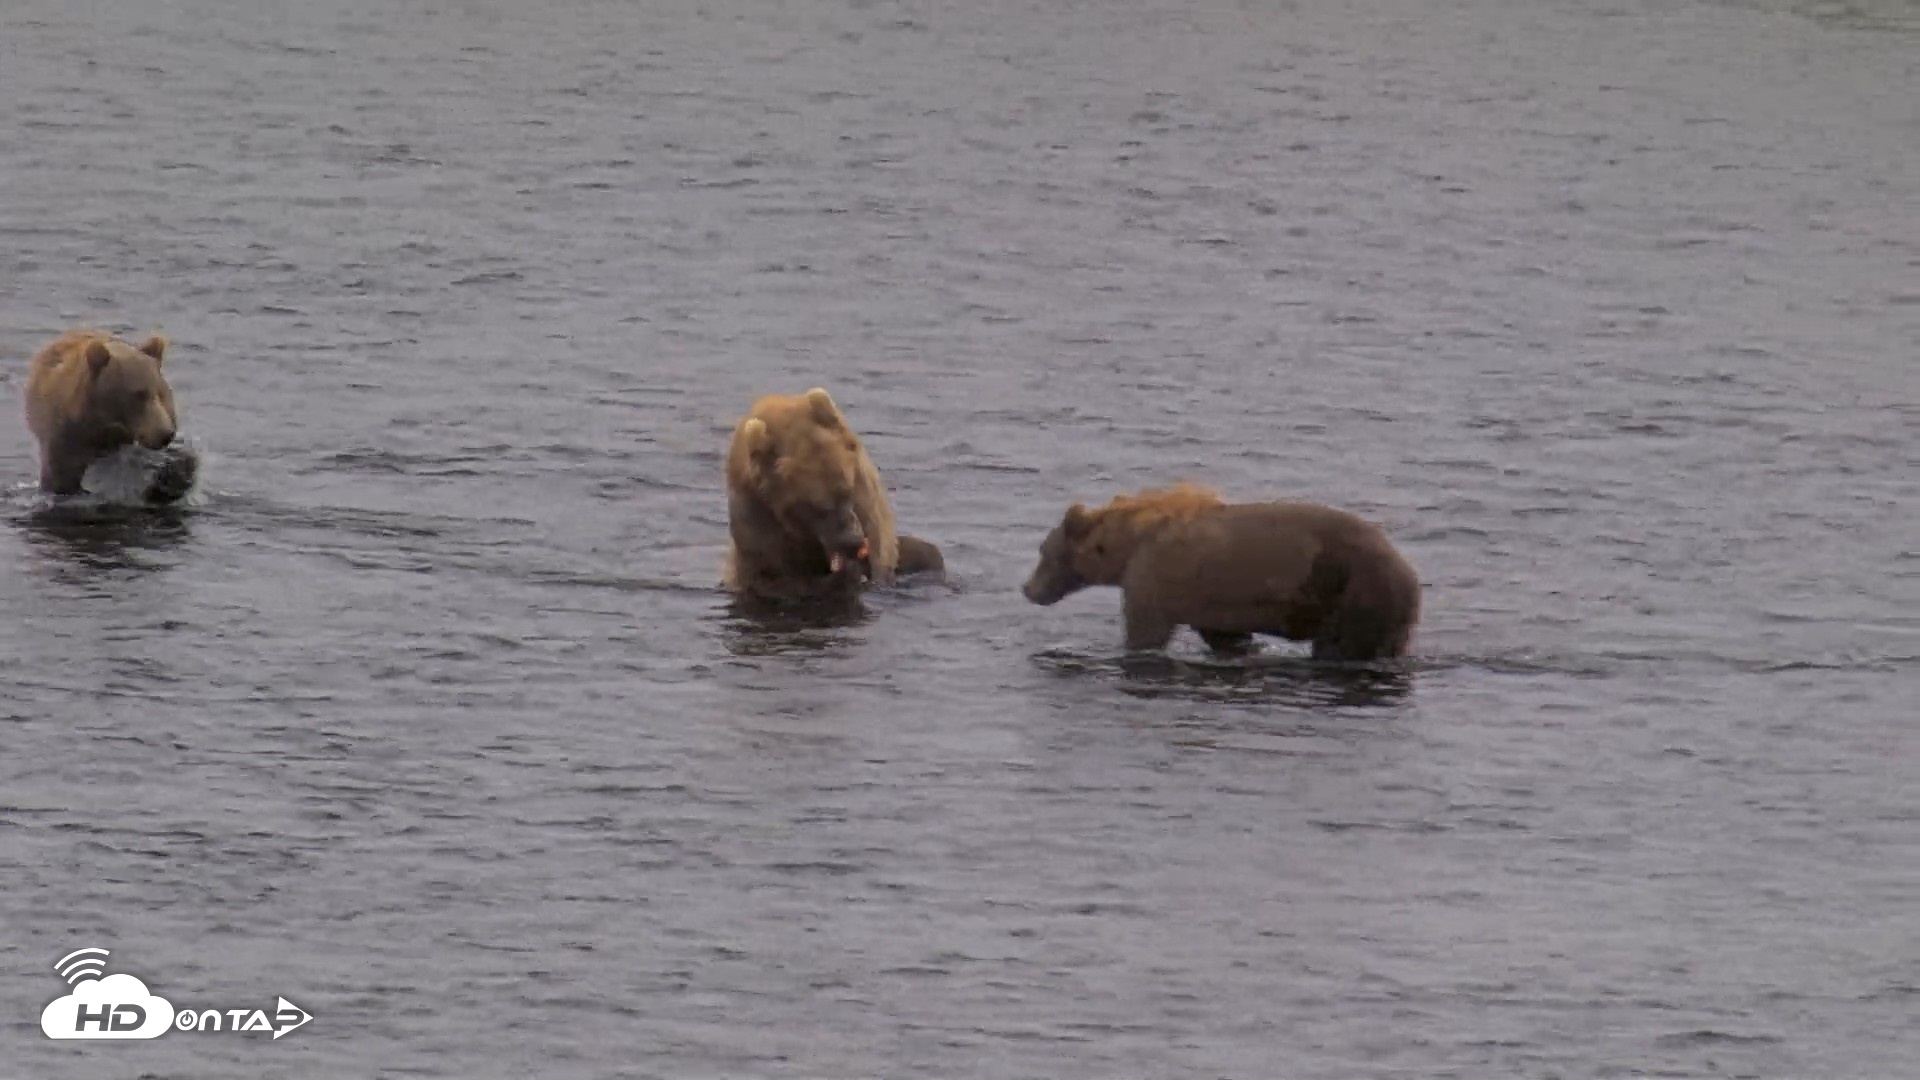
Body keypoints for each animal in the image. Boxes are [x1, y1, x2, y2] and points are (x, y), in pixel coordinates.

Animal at [1021, 483, 1420, 660]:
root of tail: (1409, 570)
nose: (1027, 588)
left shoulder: (1152, 577)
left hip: (1357, 591)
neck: (1128, 543)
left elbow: (1145, 632)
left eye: (1043, 550)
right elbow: (1225, 635)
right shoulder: (1209, 599)